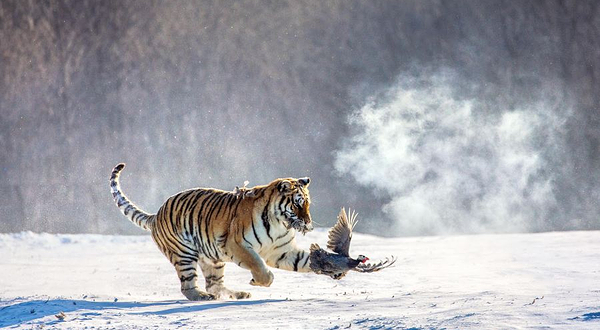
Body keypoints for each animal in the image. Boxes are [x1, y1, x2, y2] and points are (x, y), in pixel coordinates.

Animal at [109, 164, 314, 300]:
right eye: (297, 204)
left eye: (307, 204)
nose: (308, 223)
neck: (279, 223)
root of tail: (156, 215)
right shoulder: (236, 244)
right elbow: (256, 263)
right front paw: (262, 280)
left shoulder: (281, 250)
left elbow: (304, 260)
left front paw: (324, 264)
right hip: (184, 254)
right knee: (188, 286)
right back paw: (202, 296)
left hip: (212, 259)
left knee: (214, 285)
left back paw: (238, 294)